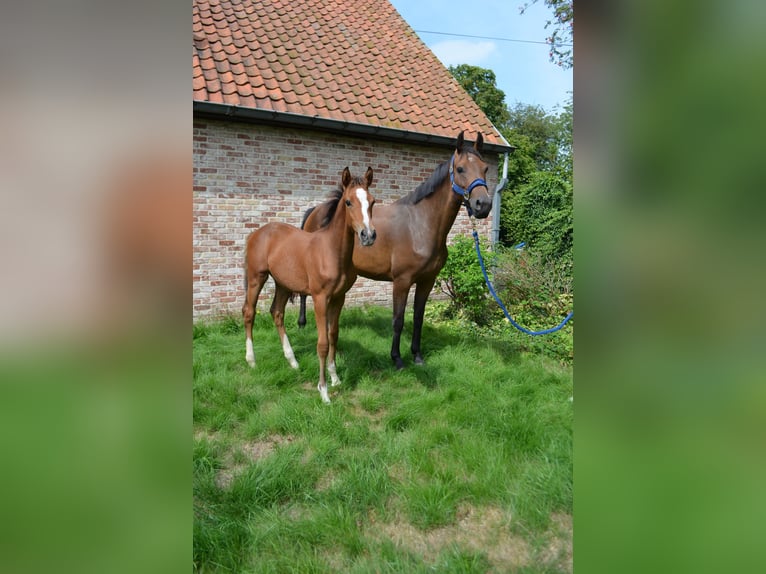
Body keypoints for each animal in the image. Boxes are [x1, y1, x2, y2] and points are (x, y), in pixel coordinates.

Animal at [243, 164, 378, 402]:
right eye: (348, 202)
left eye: (372, 201)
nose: (368, 235)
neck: (332, 251)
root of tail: (256, 233)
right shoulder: (320, 298)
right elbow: (322, 343)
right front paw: (323, 391)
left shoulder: (339, 297)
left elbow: (333, 336)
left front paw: (335, 378)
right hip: (256, 277)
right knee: (249, 312)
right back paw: (251, 360)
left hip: (283, 283)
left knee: (276, 312)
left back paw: (293, 361)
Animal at [296, 132, 496, 368]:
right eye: (461, 169)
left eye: (485, 168)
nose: (483, 205)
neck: (420, 225)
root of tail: (314, 211)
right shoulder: (402, 281)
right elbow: (398, 319)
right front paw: (397, 358)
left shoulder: (427, 281)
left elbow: (418, 317)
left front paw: (417, 355)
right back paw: (301, 323)